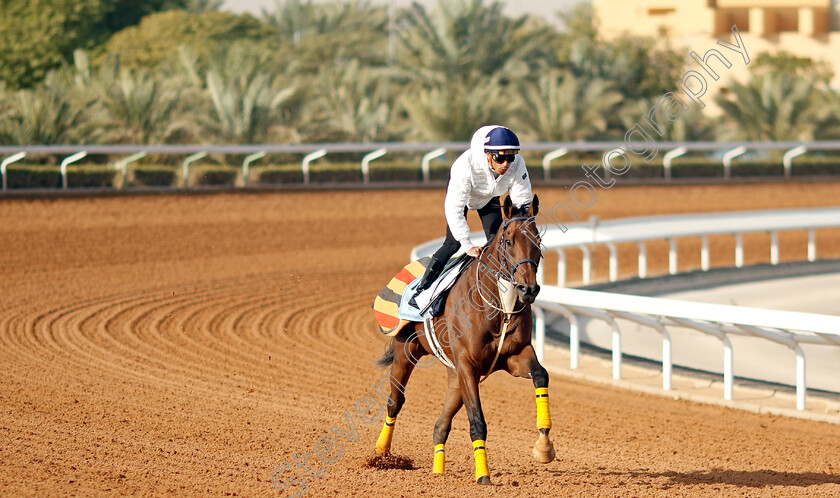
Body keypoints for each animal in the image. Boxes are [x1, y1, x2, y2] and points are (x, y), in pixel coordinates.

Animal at [372, 193, 556, 484]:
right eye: (508, 240)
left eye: (537, 241)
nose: (528, 289)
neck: (499, 305)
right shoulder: (468, 364)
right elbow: (477, 421)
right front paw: (483, 476)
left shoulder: (514, 356)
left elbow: (541, 374)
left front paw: (544, 446)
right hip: (407, 352)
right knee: (395, 402)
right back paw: (381, 455)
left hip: (455, 375)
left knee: (440, 424)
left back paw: (438, 472)